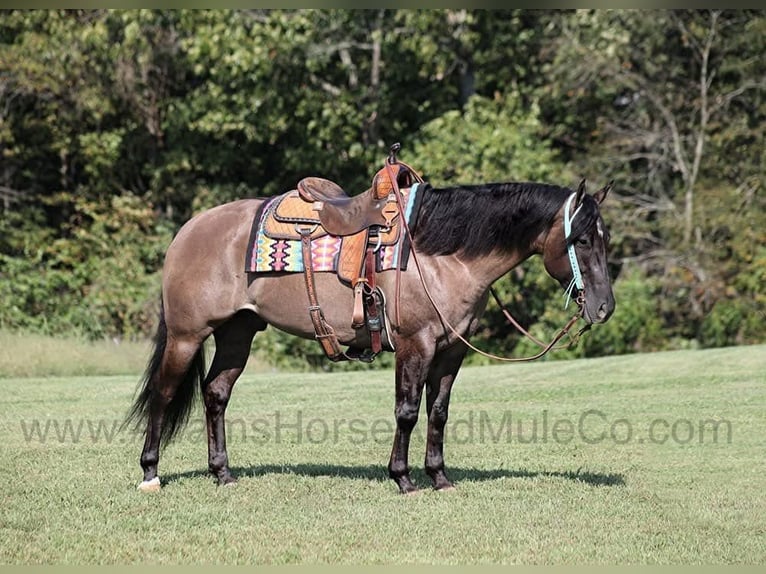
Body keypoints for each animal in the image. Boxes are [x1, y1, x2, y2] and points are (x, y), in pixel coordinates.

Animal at [127, 169, 615, 495]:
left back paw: (222, 473)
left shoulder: (451, 351)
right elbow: (407, 412)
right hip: (187, 336)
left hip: (237, 334)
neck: (440, 253)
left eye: (605, 238)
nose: (604, 307)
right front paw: (403, 478)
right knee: (164, 394)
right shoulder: (416, 345)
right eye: (581, 239)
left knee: (216, 394)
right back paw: (151, 473)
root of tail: (187, 232)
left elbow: (438, 413)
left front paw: (439, 477)